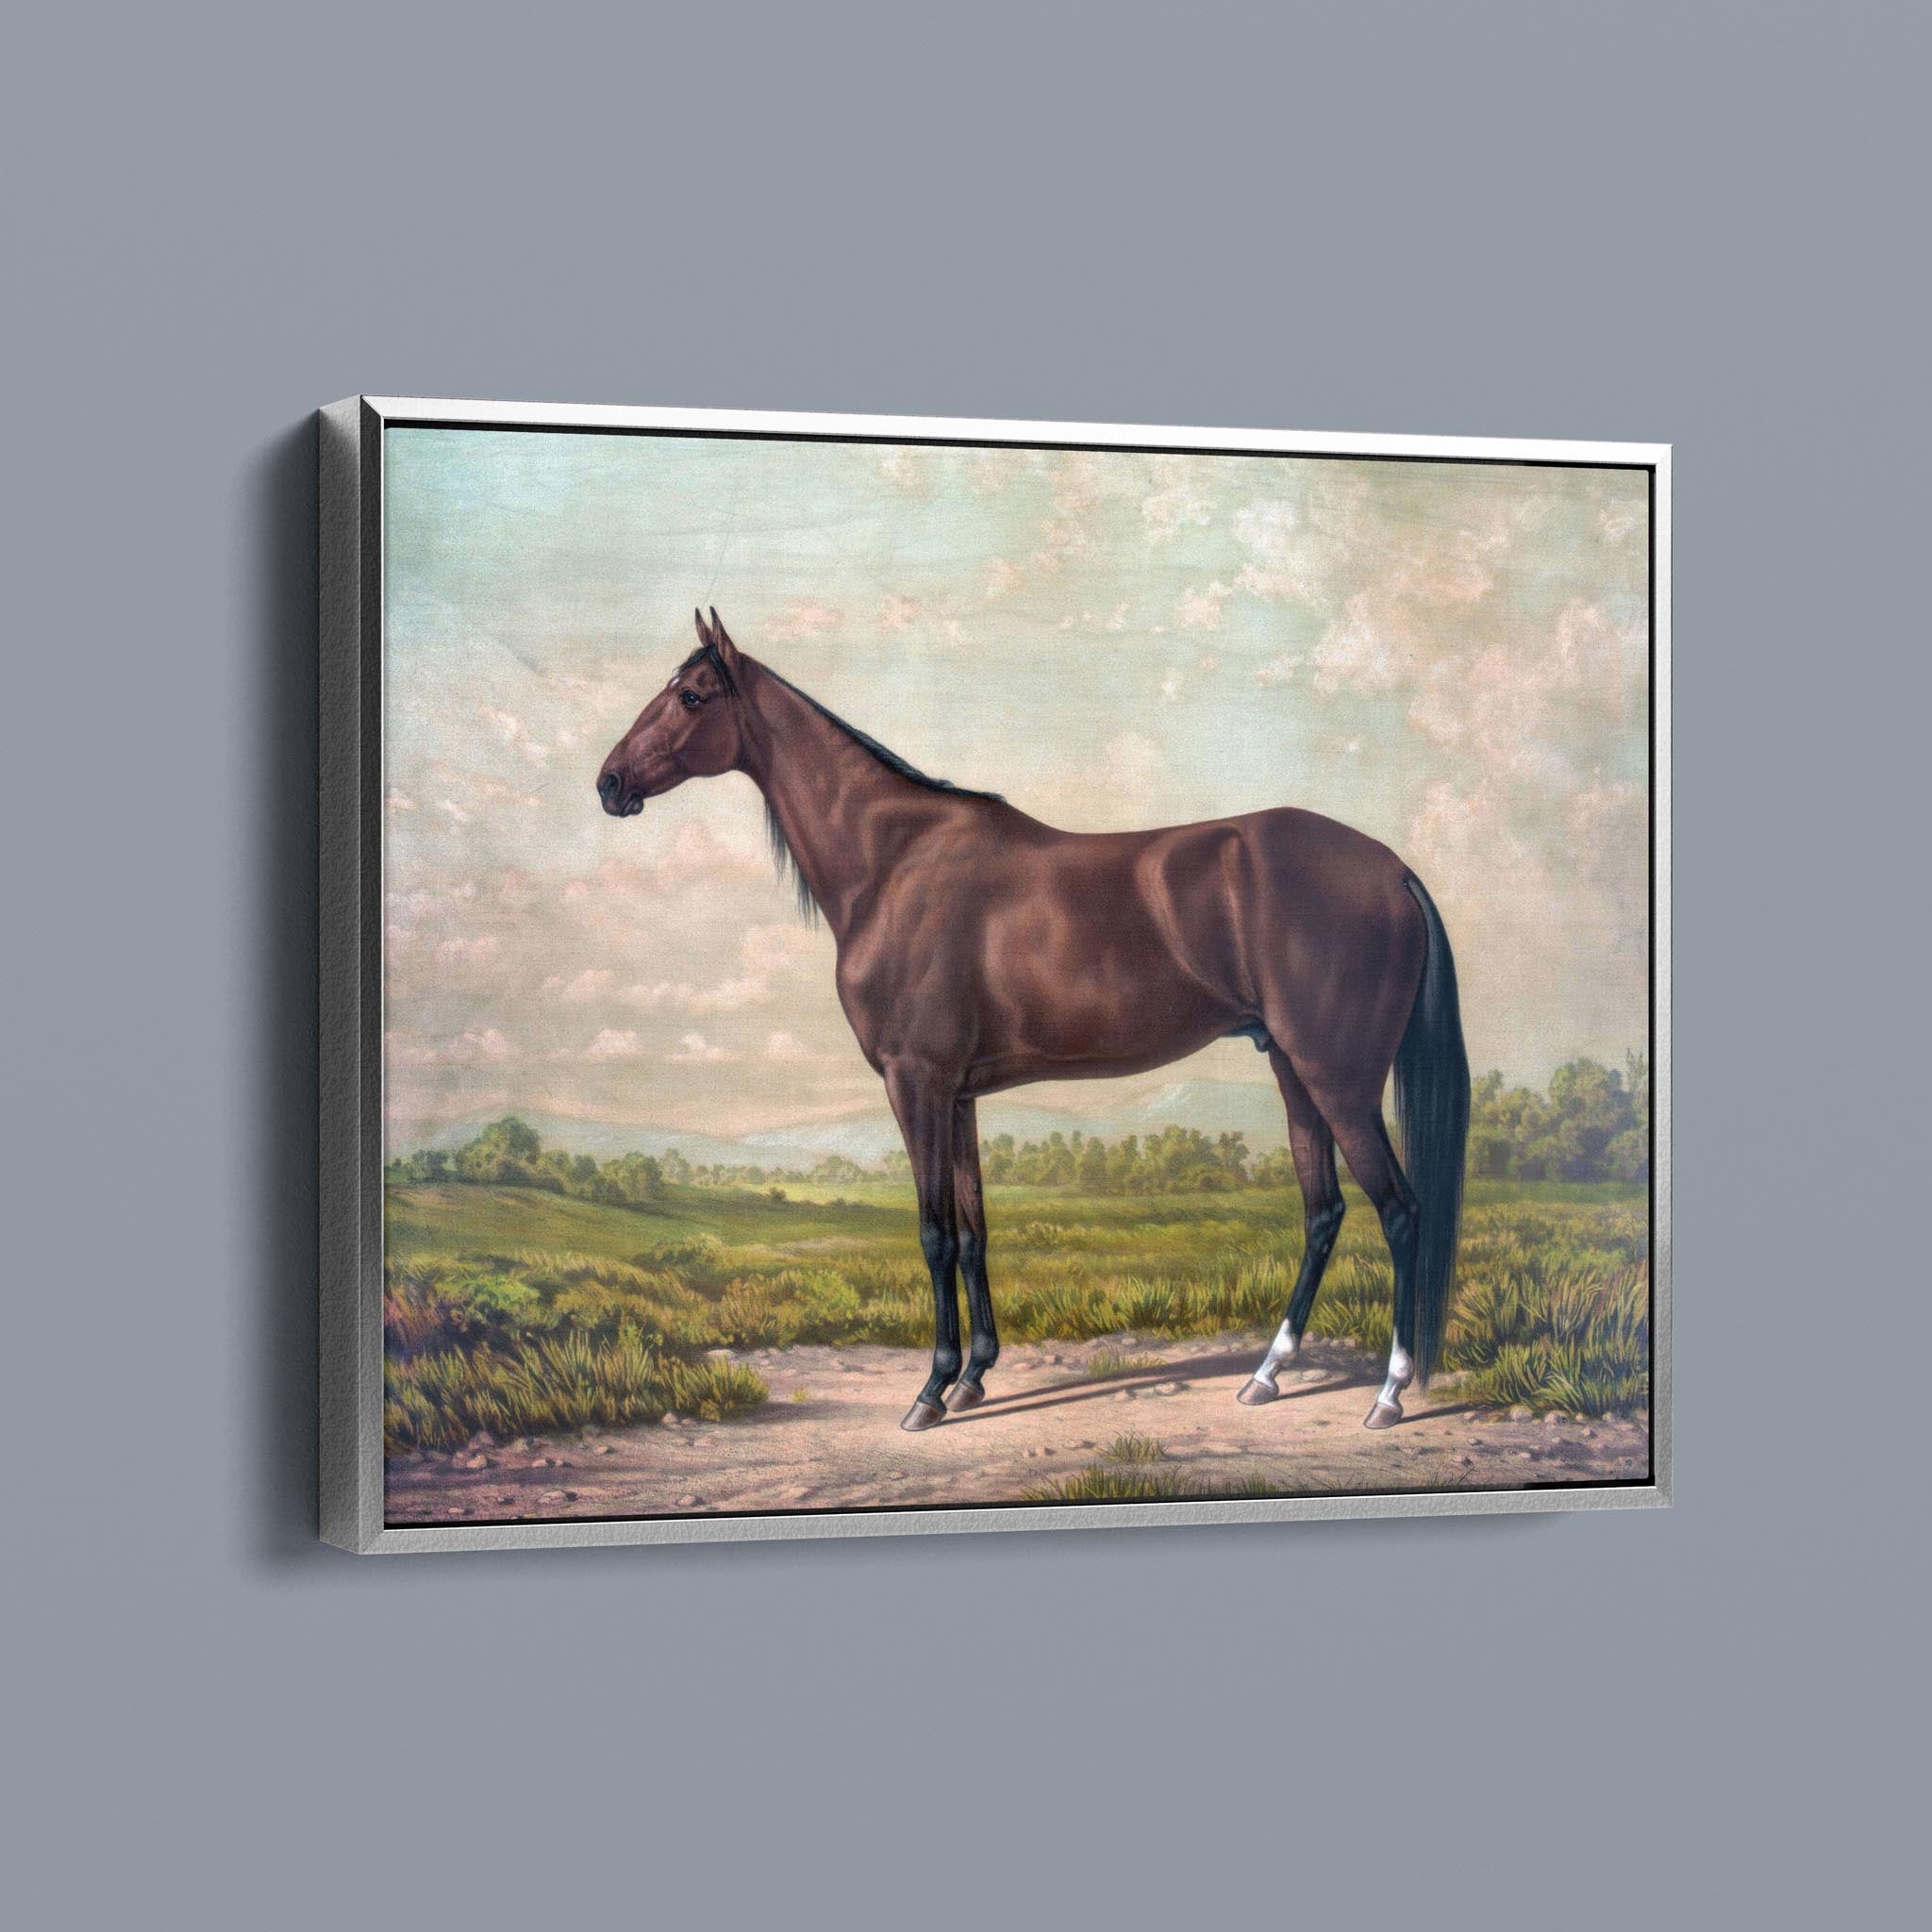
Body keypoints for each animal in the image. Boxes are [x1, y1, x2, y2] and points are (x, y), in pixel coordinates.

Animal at [599, 610, 1470, 1435]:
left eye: (691, 696)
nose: (609, 783)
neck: (894, 864)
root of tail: (1392, 868)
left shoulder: (915, 1084)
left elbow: (934, 1233)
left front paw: (930, 1392)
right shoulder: (958, 1096)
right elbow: (975, 1230)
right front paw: (974, 1376)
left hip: (1339, 1080)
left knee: (1399, 1211)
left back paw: (1389, 1393)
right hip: (1293, 1072)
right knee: (1324, 1213)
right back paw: (1266, 1375)